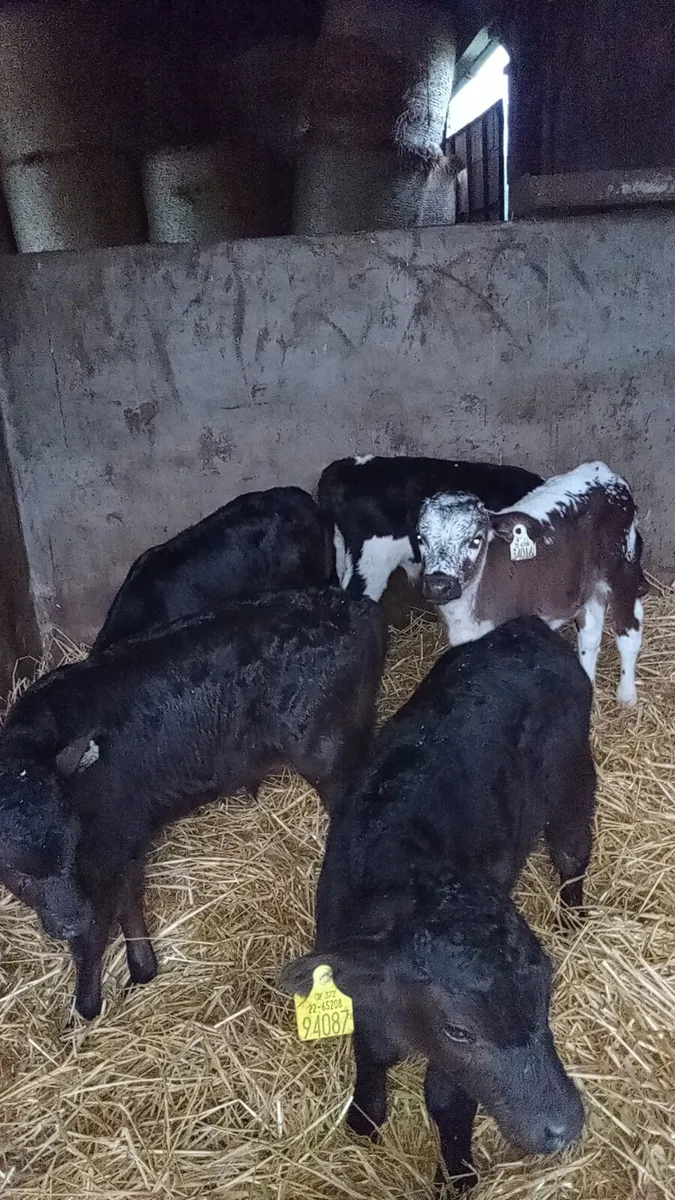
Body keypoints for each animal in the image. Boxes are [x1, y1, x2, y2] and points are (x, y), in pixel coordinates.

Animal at [0, 589, 387, 1019]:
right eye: (13, 870)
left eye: (73, 844)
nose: (68, 922)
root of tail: (358, 607)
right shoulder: (125, 840)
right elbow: (126, 903)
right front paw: (142, 968)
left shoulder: (110, 846)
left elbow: (96, 932)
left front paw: (86, 1006)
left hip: (328, 753)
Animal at [281, 618, 593, 1191]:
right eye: (459, 1029)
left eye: (547, 995)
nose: (563, 1126)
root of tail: (528, 629)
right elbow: (370, 1047)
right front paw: (365, 1116)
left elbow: (446, 1101)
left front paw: (457, 1174)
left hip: (572, 780)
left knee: (572, 850)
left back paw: (573, 914)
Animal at [418, 461, 647, 705]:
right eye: (421, 538)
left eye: (475, 540)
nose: (439, 585)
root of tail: (602, 470)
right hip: (587, 584)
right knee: (590, 634)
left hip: (622, 566)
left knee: (629, 631)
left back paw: (627, 695)